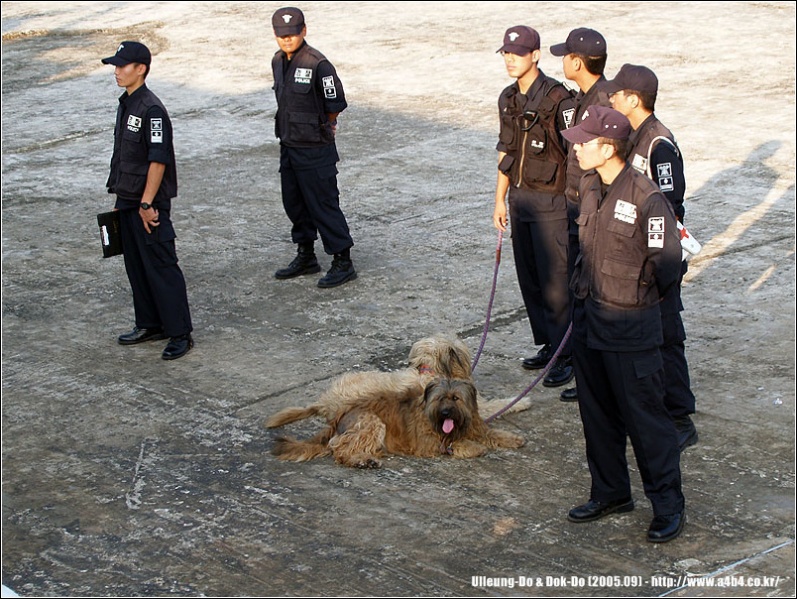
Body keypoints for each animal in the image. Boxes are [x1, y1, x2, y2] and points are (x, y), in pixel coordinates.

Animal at [266, 380, 524, 468]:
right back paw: (361, 460)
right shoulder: (429, 443)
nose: (445, 412)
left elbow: (490, 433)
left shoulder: (474, 425)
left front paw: (512, 438)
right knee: (339, 448)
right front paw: (473, 447)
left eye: (455, 398)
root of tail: (340, 413)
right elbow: (456, 444)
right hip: (371, 421)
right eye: (440, 398)